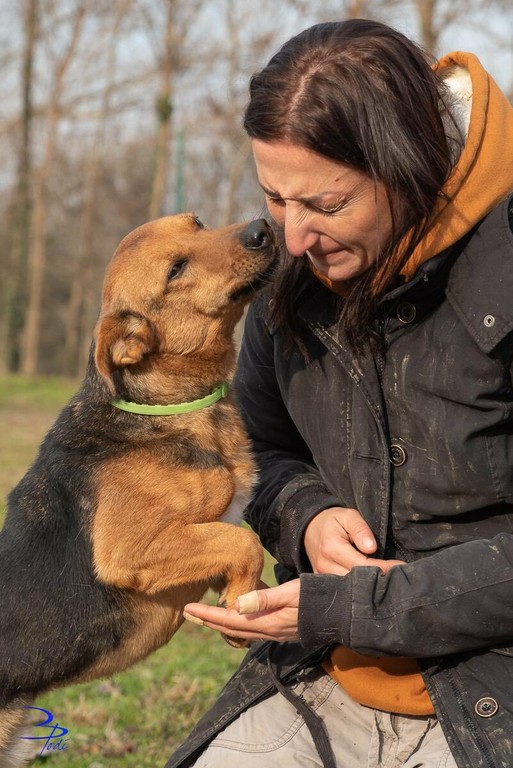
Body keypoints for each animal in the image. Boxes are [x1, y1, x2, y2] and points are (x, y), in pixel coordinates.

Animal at [0, 213, 275, 765]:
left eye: (198, 223)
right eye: (176, 269)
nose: (261, 227)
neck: (165, 408)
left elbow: (236, 544)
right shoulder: (131, 550)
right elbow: (242, 542)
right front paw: (241, 606)